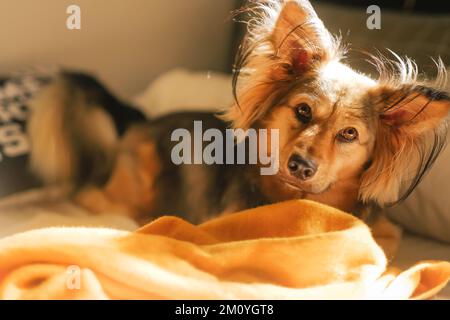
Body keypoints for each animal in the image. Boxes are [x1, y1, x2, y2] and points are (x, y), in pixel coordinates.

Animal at [28, 0, 450, 252]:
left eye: (349, 134)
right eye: (303, 111)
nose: (301, 166)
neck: (295, 199)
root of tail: (143, 119)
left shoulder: (386, 232)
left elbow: (385, 243)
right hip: (132, 183)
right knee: (89, 197)